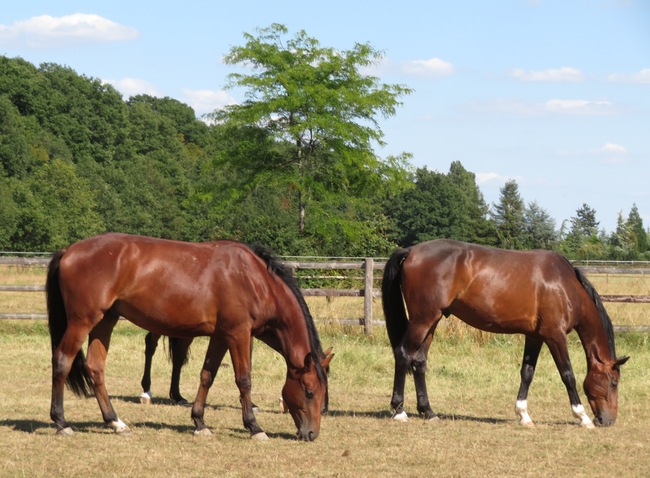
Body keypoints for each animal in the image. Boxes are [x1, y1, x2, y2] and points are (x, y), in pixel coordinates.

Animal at [45, 232, 332, 440]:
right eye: (309, 392)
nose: (311, 434)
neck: (255, 279)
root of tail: (69, 250)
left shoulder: (221, 336)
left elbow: (207, 376)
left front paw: (199, 421)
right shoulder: (239, 333)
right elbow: (244, 379)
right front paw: (254, 426)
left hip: (106, 321)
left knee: (95, 368)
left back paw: (115, 422)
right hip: (83, 321)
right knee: (62, 361)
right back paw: (61, 422)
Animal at [382, 241, 624, 428]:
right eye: (613, 382)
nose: (608, 420)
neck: (565, 285)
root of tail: (411, 250)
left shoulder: (535, 336)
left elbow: (527, 373)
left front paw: (524, 415)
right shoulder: (555, 336)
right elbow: (568, 375)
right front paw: (583, 417)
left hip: (432, 321)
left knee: (419, 361)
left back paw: (428, 412)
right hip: (422, 320)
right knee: (403, 354)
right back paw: (400, 411)